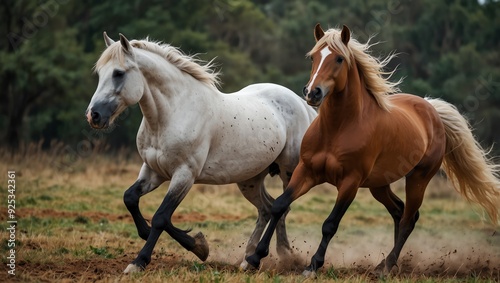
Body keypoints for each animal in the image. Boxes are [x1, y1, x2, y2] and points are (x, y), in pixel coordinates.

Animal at [84, 32, 314, 274]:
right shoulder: (153, 171)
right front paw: (196, 244)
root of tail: (302, 104)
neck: (174, 113)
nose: (93, 115)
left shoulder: (185, 175)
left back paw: (273, 256)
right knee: (267, 209)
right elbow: (130, 199)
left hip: (288, 171)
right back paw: (252, 258)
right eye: (100, 73)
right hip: (250, 179)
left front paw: (140, 261)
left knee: (281, 207)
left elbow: (161, 217)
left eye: (118, 73)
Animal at [246, 23, 500, 278]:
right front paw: (254, 258)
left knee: (409, 218)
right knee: (399, 211)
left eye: (339, 59)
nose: (312, 93)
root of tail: (431, 109)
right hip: (379, 185)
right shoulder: (306, 172)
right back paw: (387, 264)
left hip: (418, 178)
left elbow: (330, 224)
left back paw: (386, 266)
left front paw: (312, 265)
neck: (338, 129)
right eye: (313, 57)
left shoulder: (350, 183)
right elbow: (279, 206)